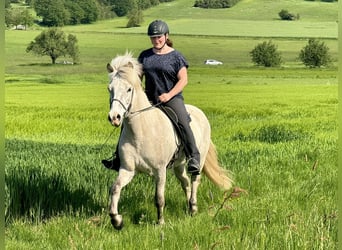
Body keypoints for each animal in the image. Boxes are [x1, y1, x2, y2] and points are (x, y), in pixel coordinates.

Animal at [105, 52, 232, 230]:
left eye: (129, 89)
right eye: (110, 89)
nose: (114, 117)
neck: (141, 131)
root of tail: (200, 112)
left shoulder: (160, 171)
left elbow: (159, 198)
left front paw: (160, 222)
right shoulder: (127, 170)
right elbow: (115, 188)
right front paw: (117, 220)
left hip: (198, 160)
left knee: (195, 180)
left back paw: (193, 207)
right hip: (179, 164)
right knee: (185, 182)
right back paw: (188, 207)